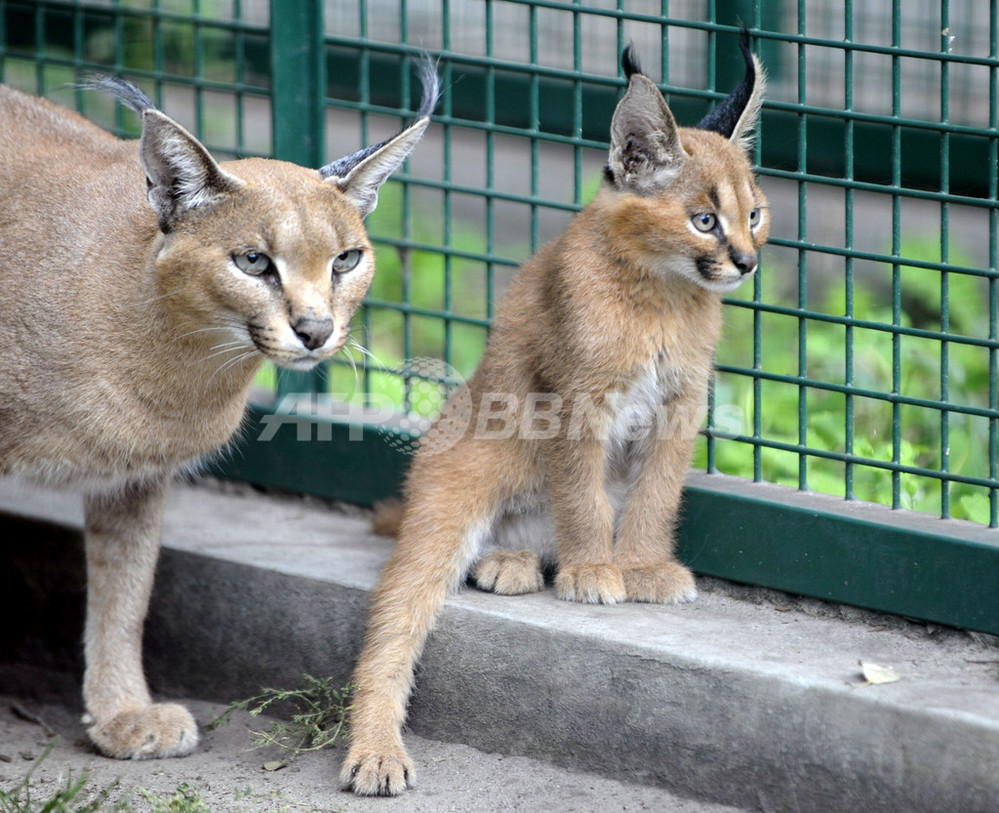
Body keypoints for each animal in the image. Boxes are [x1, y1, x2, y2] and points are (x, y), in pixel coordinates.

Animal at [0, 65, 438, 760]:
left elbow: (127, 590)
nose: (316, 330)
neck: (183, 360)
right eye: (253, 261)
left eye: (346, 260)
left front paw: (122, 711)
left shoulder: (136, 474)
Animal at [340, 39, 768, 792]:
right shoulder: (575, 398)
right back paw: (377, 752)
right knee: (396, 619)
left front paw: (640, 566)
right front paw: (593, 571)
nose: (745, 262)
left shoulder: (680, 404)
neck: (663, 295)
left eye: (754, 215)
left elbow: (655, 493)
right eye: (704, 220)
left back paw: (514, 560)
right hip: (452, 490)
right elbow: (582, 494)